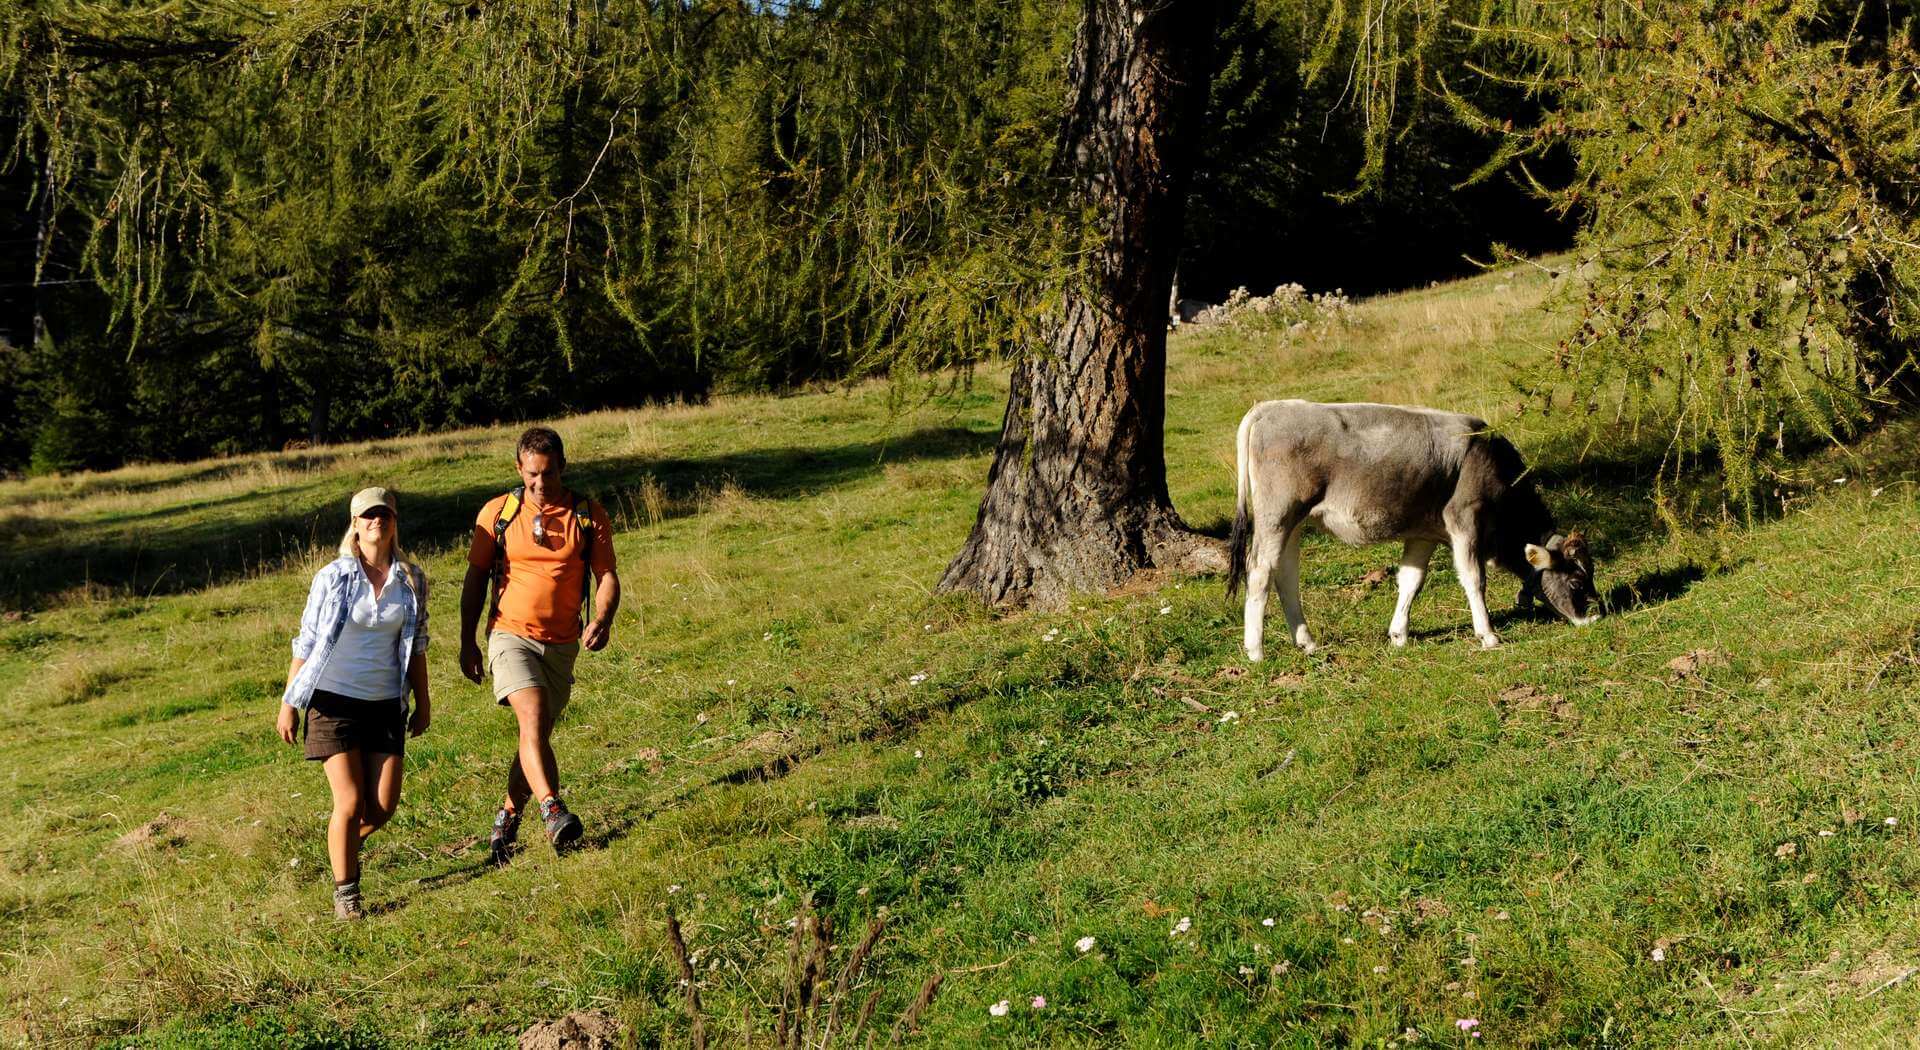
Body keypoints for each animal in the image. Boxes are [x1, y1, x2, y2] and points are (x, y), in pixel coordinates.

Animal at [1228, 399, 1605, 660]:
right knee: (1260, 571)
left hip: (1293, 523)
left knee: (1286, 575)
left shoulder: (1425, 534)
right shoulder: (1465, 519)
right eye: (1576, 580)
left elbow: (1411, 580)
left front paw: (1399, 635)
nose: (1595, 618)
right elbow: (1474, 579)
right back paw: (1255, 650)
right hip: (1277, 515)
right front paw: (1488, 635)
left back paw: (1306, 642)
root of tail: (1272, 406)